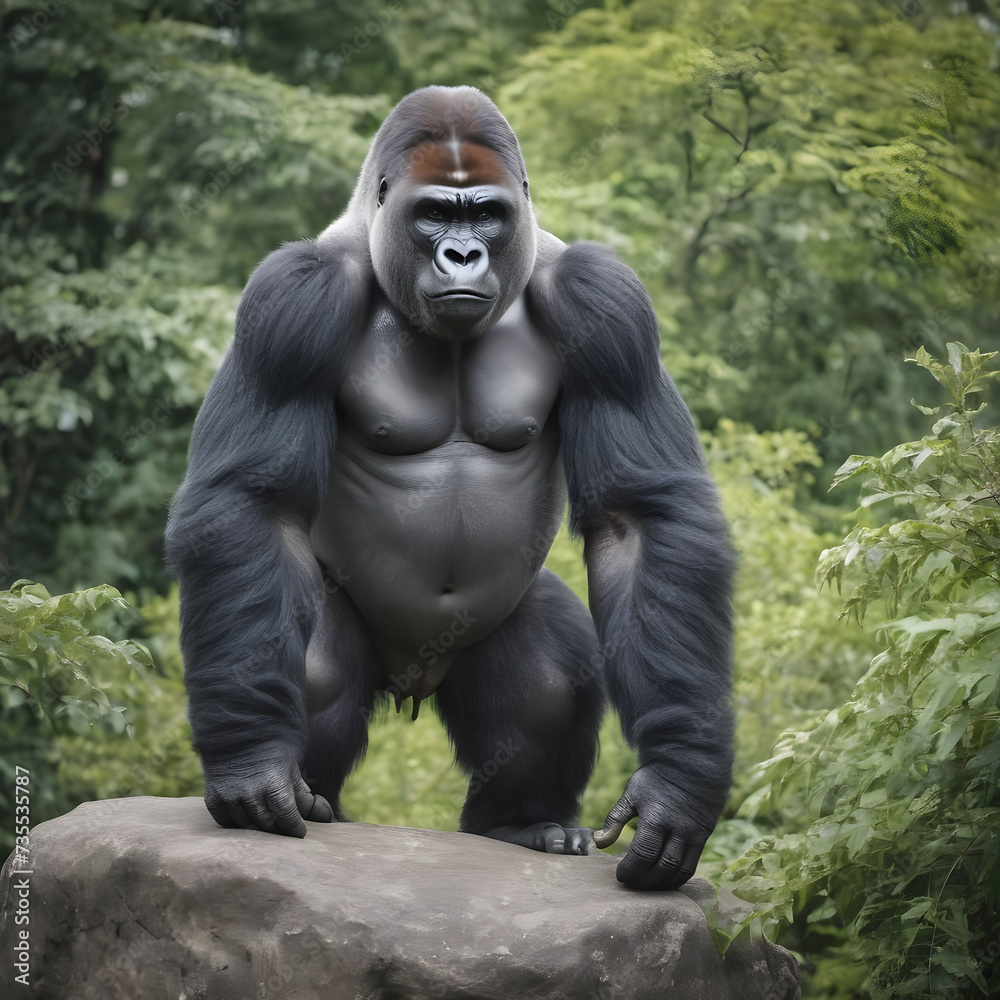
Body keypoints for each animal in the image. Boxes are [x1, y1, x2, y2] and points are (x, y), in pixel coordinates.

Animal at [168, 82, 736, 888]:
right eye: (435, 211)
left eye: (486, 214)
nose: (462, 254)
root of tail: (416, 676)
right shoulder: (291, 298)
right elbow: (254, 501)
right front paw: (251, 763)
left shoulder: (607, 300)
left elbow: (640, 517)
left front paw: (678, 785)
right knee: (315, 665)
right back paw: (313, 798)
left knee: (549, 677)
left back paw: (518, 822)